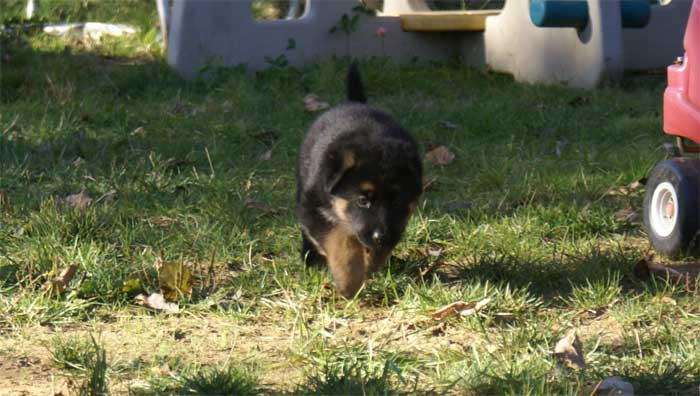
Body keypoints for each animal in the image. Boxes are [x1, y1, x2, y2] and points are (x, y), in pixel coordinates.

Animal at [296, 64, 422, 296]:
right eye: (362, 201)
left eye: (398, 200)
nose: (380, 237)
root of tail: (353, 102)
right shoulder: (314, 207)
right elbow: (340, 243)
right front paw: (349, 283)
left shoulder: (395, 225)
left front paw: (371, 264)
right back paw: (310, 259)